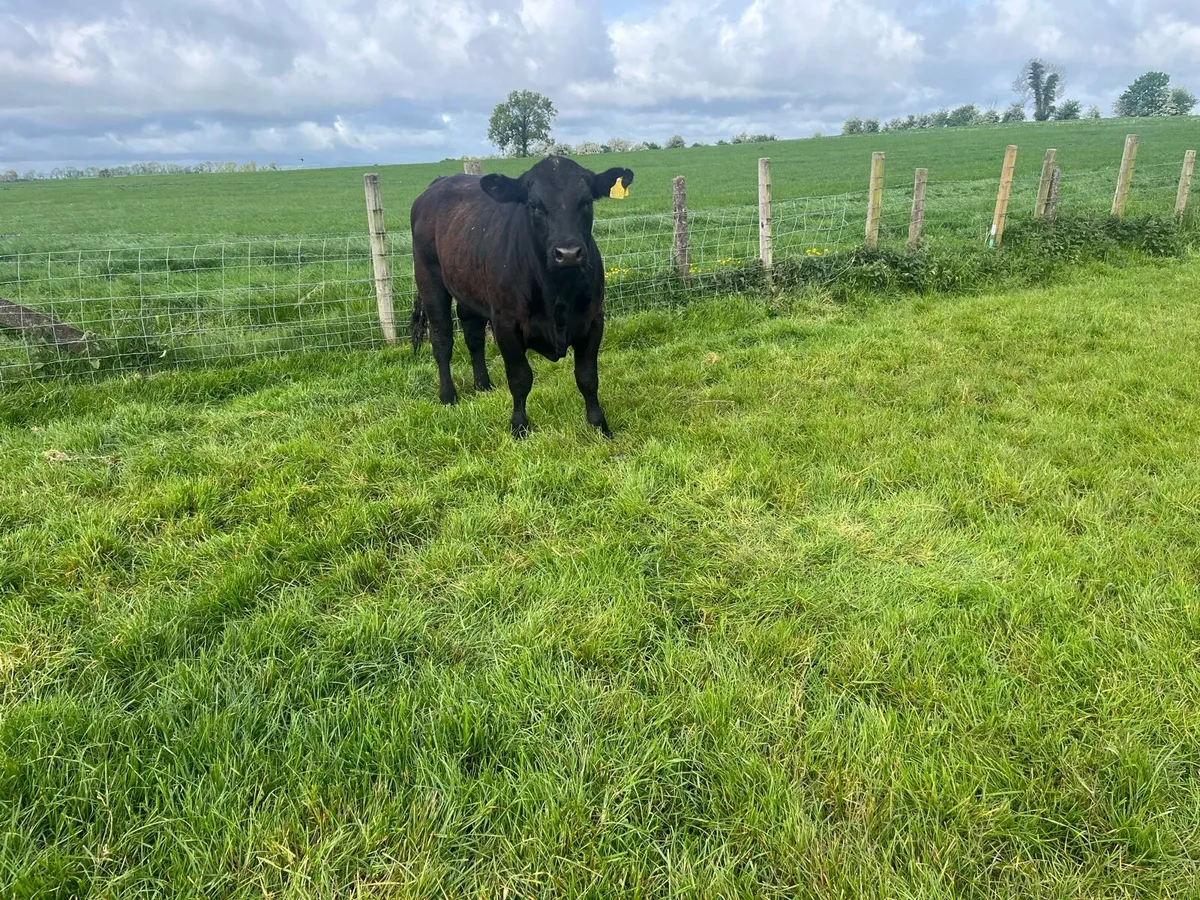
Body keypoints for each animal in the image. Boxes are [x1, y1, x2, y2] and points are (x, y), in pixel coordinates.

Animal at [409, 156, 634, 439]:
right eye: (534, 205)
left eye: (586, 201)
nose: (568, 253)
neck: (557, 292)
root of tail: (439, 183)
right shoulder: (506, 324)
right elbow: (520, 378)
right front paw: (519, 427)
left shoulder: (593, 319)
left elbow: (587, 377)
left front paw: (598, 425)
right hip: (429, 279)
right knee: (442, 340)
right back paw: (448, 396)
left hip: (468, 286)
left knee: (473, 334)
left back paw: (483, 385)